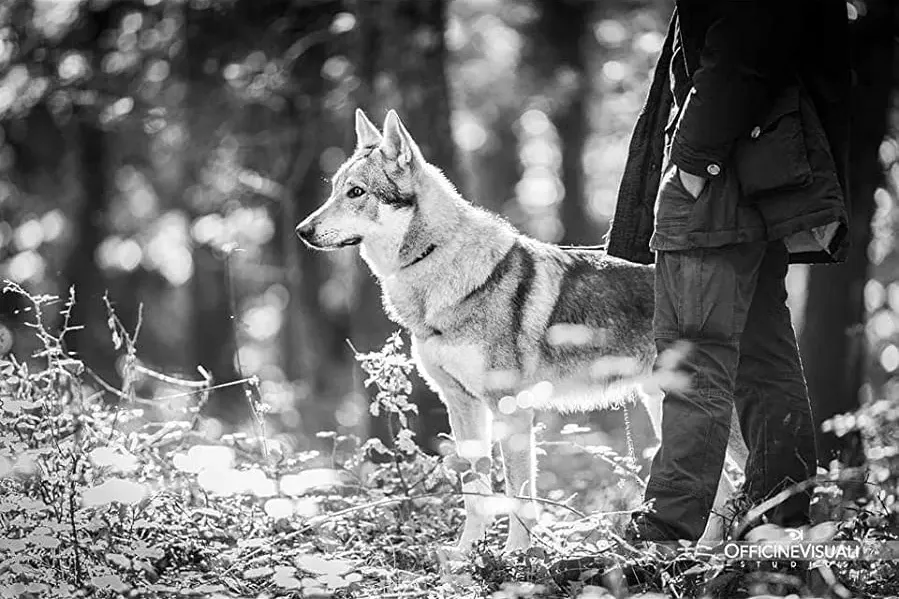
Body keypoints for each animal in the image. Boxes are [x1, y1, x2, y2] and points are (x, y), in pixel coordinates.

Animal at [296, 109, 749, 554]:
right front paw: (465, 555)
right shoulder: (460, 404)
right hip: (664, 407)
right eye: (333, 190)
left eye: (356, 192)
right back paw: (701, 556)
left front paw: (517, 556)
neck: (436, 267)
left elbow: (518, 493)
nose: (302, 230)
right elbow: (474, 490)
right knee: (722, 490)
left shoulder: (510, 408)